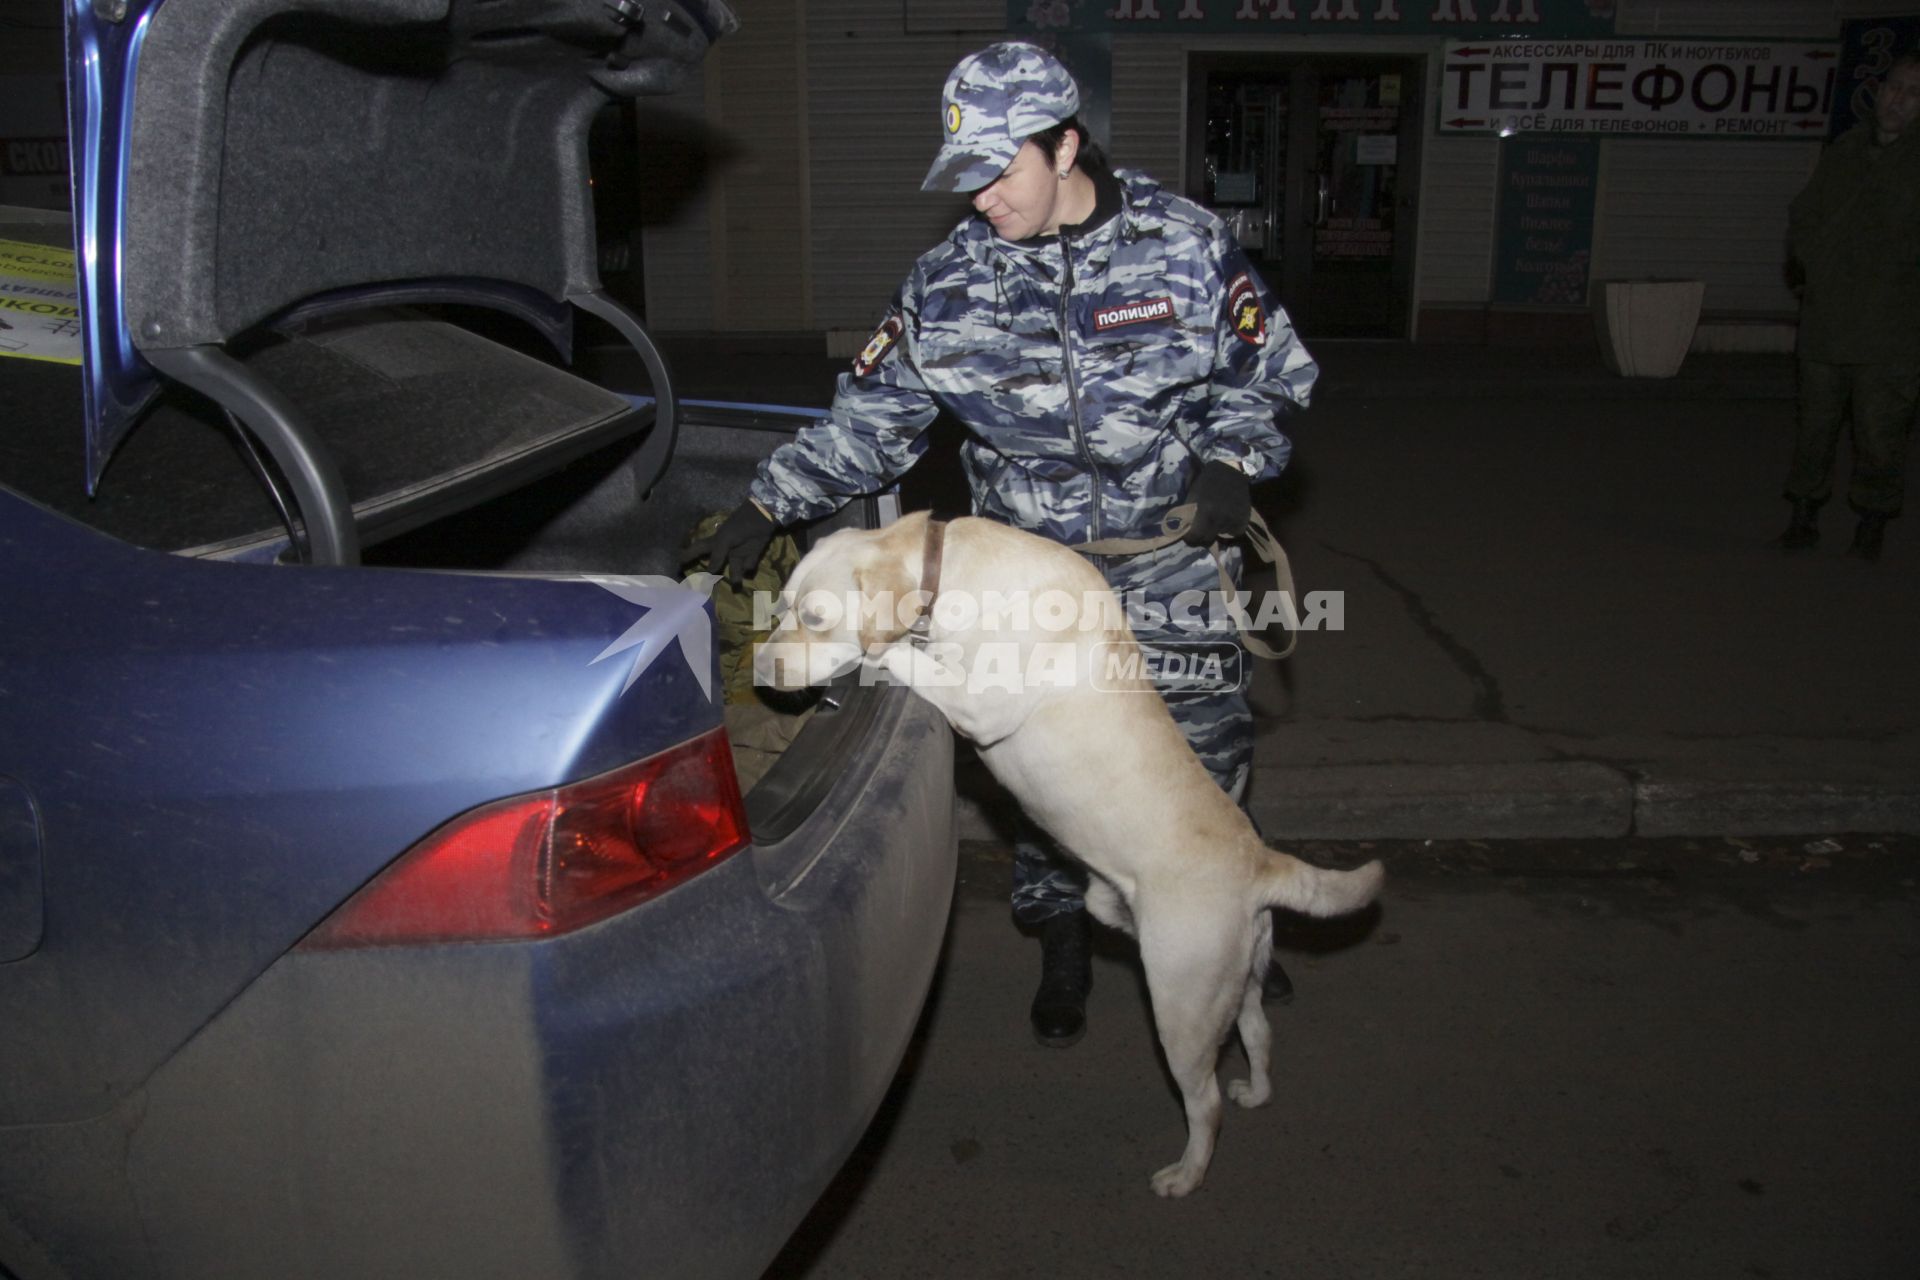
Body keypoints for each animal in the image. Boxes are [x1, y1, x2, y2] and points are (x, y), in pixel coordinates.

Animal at [756, 514, 1390, 1205]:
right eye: (782, 608)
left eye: (815, 617)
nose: (761, 667)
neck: (952, 572)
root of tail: (1260, 863)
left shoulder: (979, 702)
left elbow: (896, 651)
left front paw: (879, 652)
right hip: (1232, 983)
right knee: (1258, 1033)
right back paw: (1258, 1091)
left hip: (1182, 1006)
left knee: (1206, 1104)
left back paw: (1187, 1174)